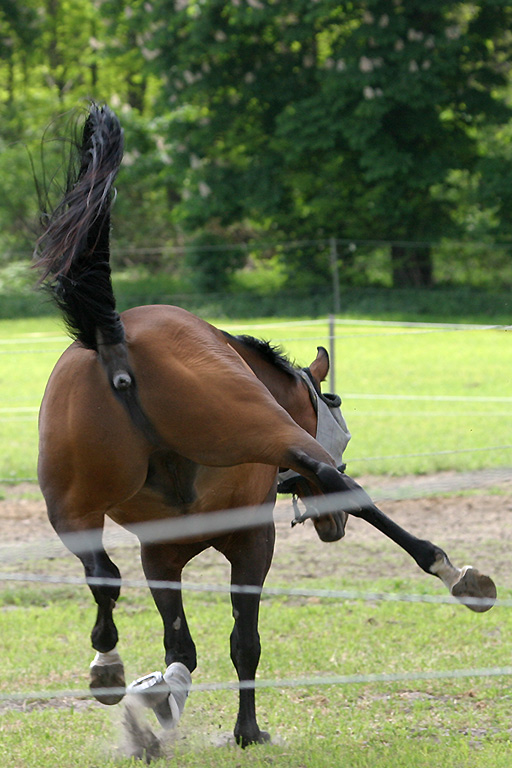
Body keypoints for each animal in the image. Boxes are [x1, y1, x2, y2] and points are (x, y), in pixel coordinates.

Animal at [33, 106, 496, 752]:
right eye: (338, 416)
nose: (327, 528)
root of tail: (114, 337)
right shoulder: (254, 539)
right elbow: (241, 643)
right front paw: (244, 729)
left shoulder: (161, 557)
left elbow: (183, 646)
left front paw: (159, 702)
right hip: (259, 434)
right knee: (334, 479)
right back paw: (456, 574)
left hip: (70, 504)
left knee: (102, 575)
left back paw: (107, 666)